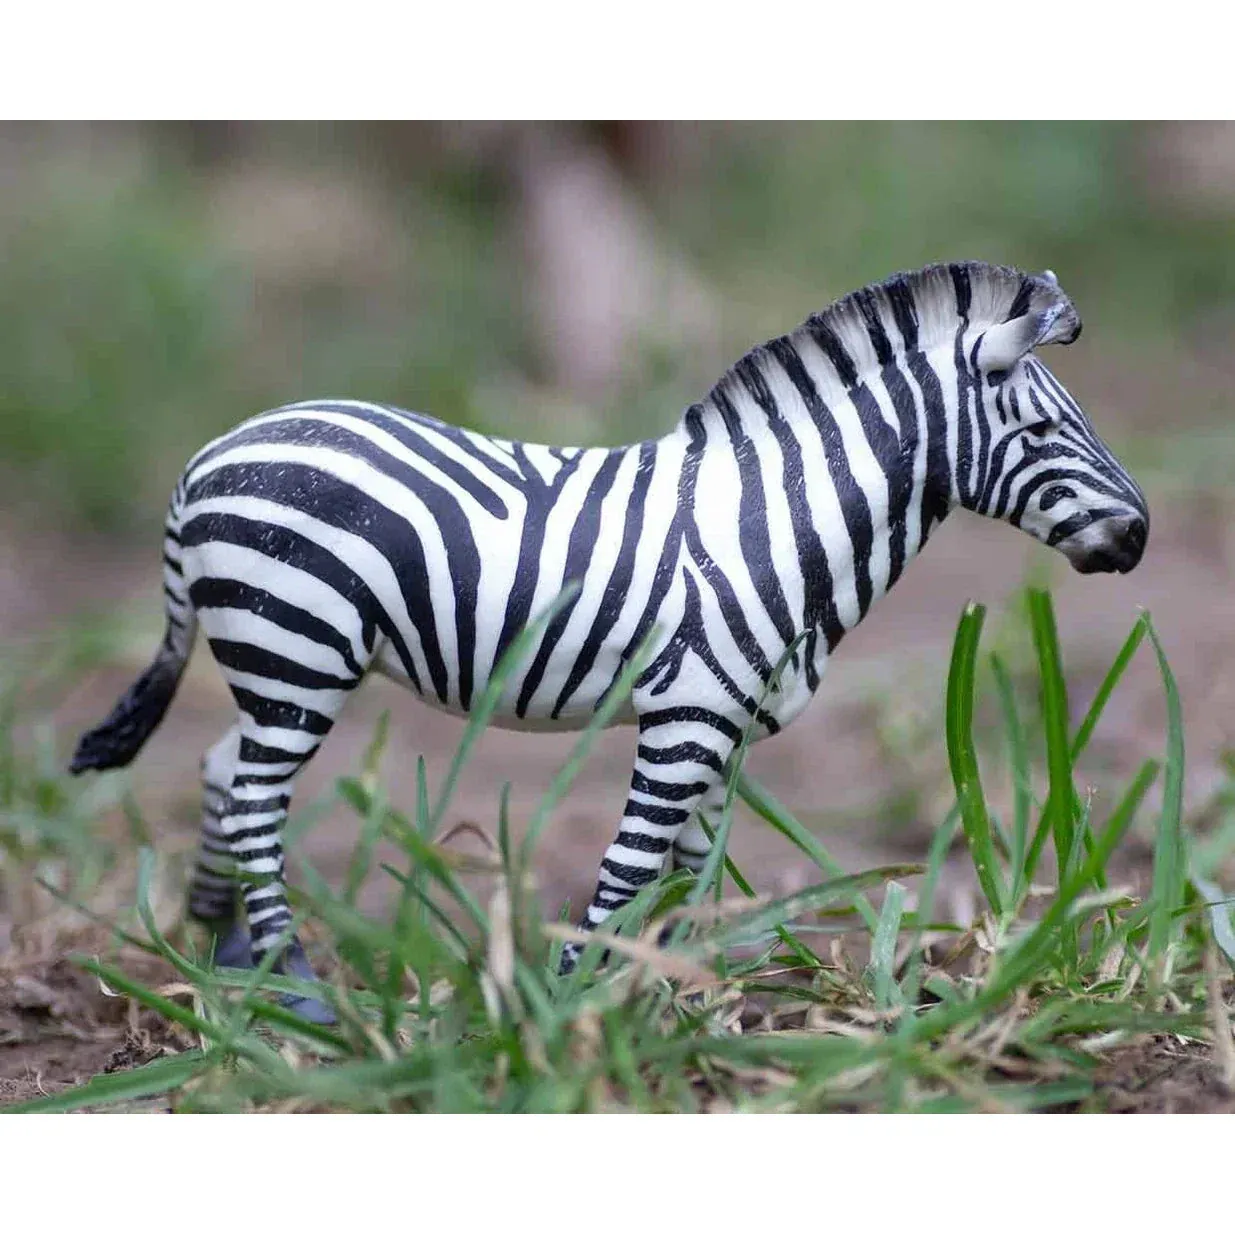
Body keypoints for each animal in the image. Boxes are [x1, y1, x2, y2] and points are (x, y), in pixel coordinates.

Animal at [69, 261, 1148, 1023]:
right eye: (1044, 432)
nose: (1136, 536)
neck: (772, 521)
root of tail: (208, 457)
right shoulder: (688, 715)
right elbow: (633, 863)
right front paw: (571, 999)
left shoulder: (725, 725)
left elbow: (695, 868)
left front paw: (696, 997)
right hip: (297, 644)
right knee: (257, 798)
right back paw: (292, 983)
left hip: (276, 663)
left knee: (223, 767)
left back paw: (226, 952)